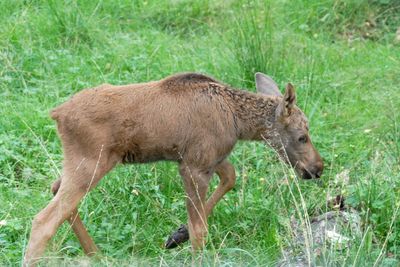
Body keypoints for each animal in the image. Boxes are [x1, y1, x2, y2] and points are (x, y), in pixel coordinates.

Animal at [23, 72, 324, 266]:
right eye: (302, 136)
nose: (317, 168)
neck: (238, 122)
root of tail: (57, 114)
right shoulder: (194, 165)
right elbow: (200, 227)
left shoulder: (207, 158)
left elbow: (229, 179)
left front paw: (177, 235)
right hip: (93, 162)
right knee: (43, 220)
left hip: (84, 162)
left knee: (55, 189)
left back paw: (96, 254)